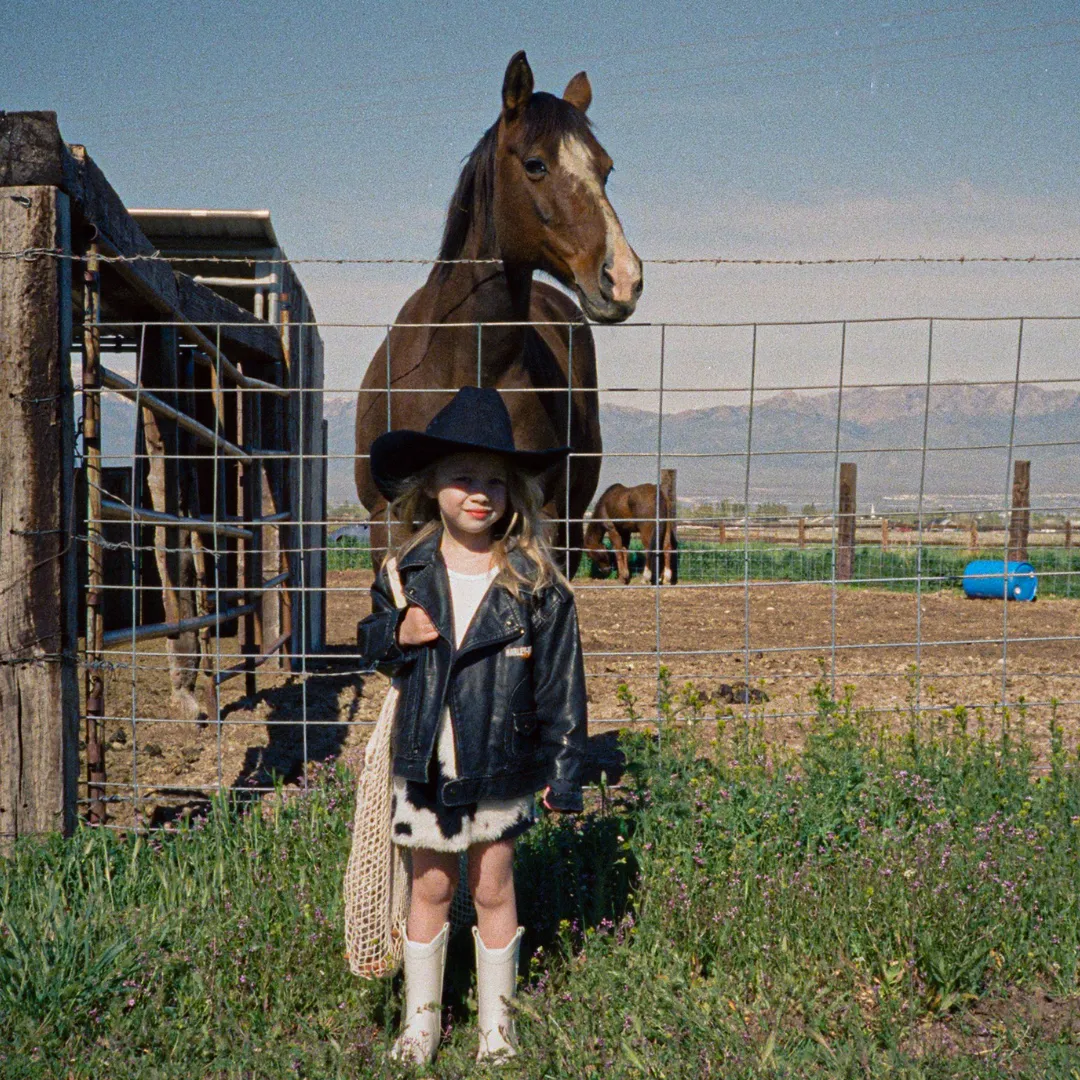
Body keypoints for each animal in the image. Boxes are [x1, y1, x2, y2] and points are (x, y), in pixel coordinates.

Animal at [354, 52, 639, 574]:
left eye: (606, 169)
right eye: (535, 163)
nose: (623, 278)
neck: (465, 369)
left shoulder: (544, 515)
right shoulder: (388, 520)